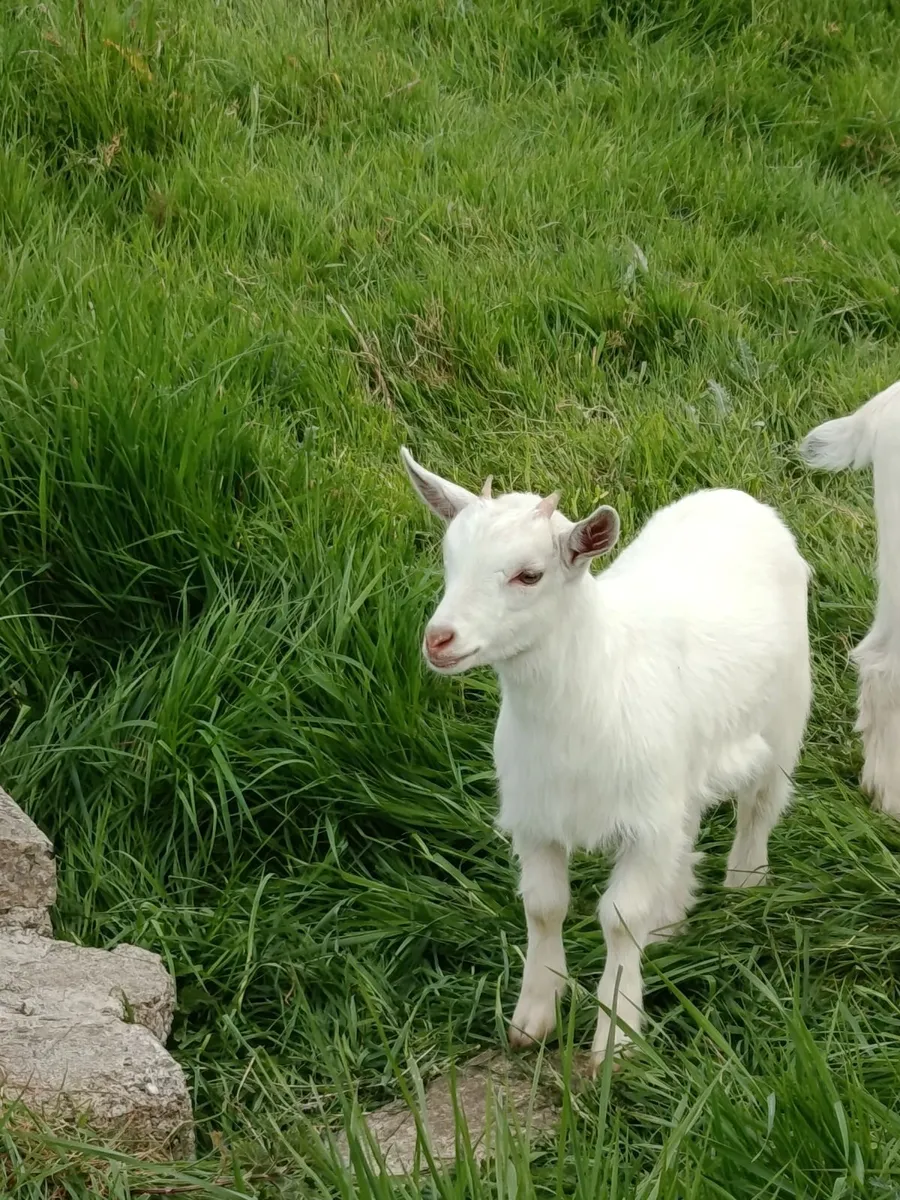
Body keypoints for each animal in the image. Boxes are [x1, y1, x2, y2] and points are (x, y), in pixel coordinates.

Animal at [402, 447, 811, 1071]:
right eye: (450, 559)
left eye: (529, 574)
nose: (439, 640)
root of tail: (738, 499)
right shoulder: (537, 818)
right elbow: (544, 907)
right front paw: (534, 1017)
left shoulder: (643, 825)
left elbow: (619, 918)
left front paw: (615, 1042)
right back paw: (670, 919)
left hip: (786, 713)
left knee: (760, 804)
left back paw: (746, 884)